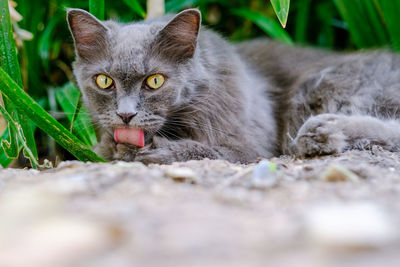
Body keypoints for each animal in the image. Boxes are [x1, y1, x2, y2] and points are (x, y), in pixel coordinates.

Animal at [68, 8, 400, 164]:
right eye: (104, 81)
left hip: (325, 84)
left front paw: (158, 151)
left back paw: (323, 132)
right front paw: (117, 147)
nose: (125, 115)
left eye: (155, 81)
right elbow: (104, 147)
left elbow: (212, 151)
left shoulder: (251, 144)